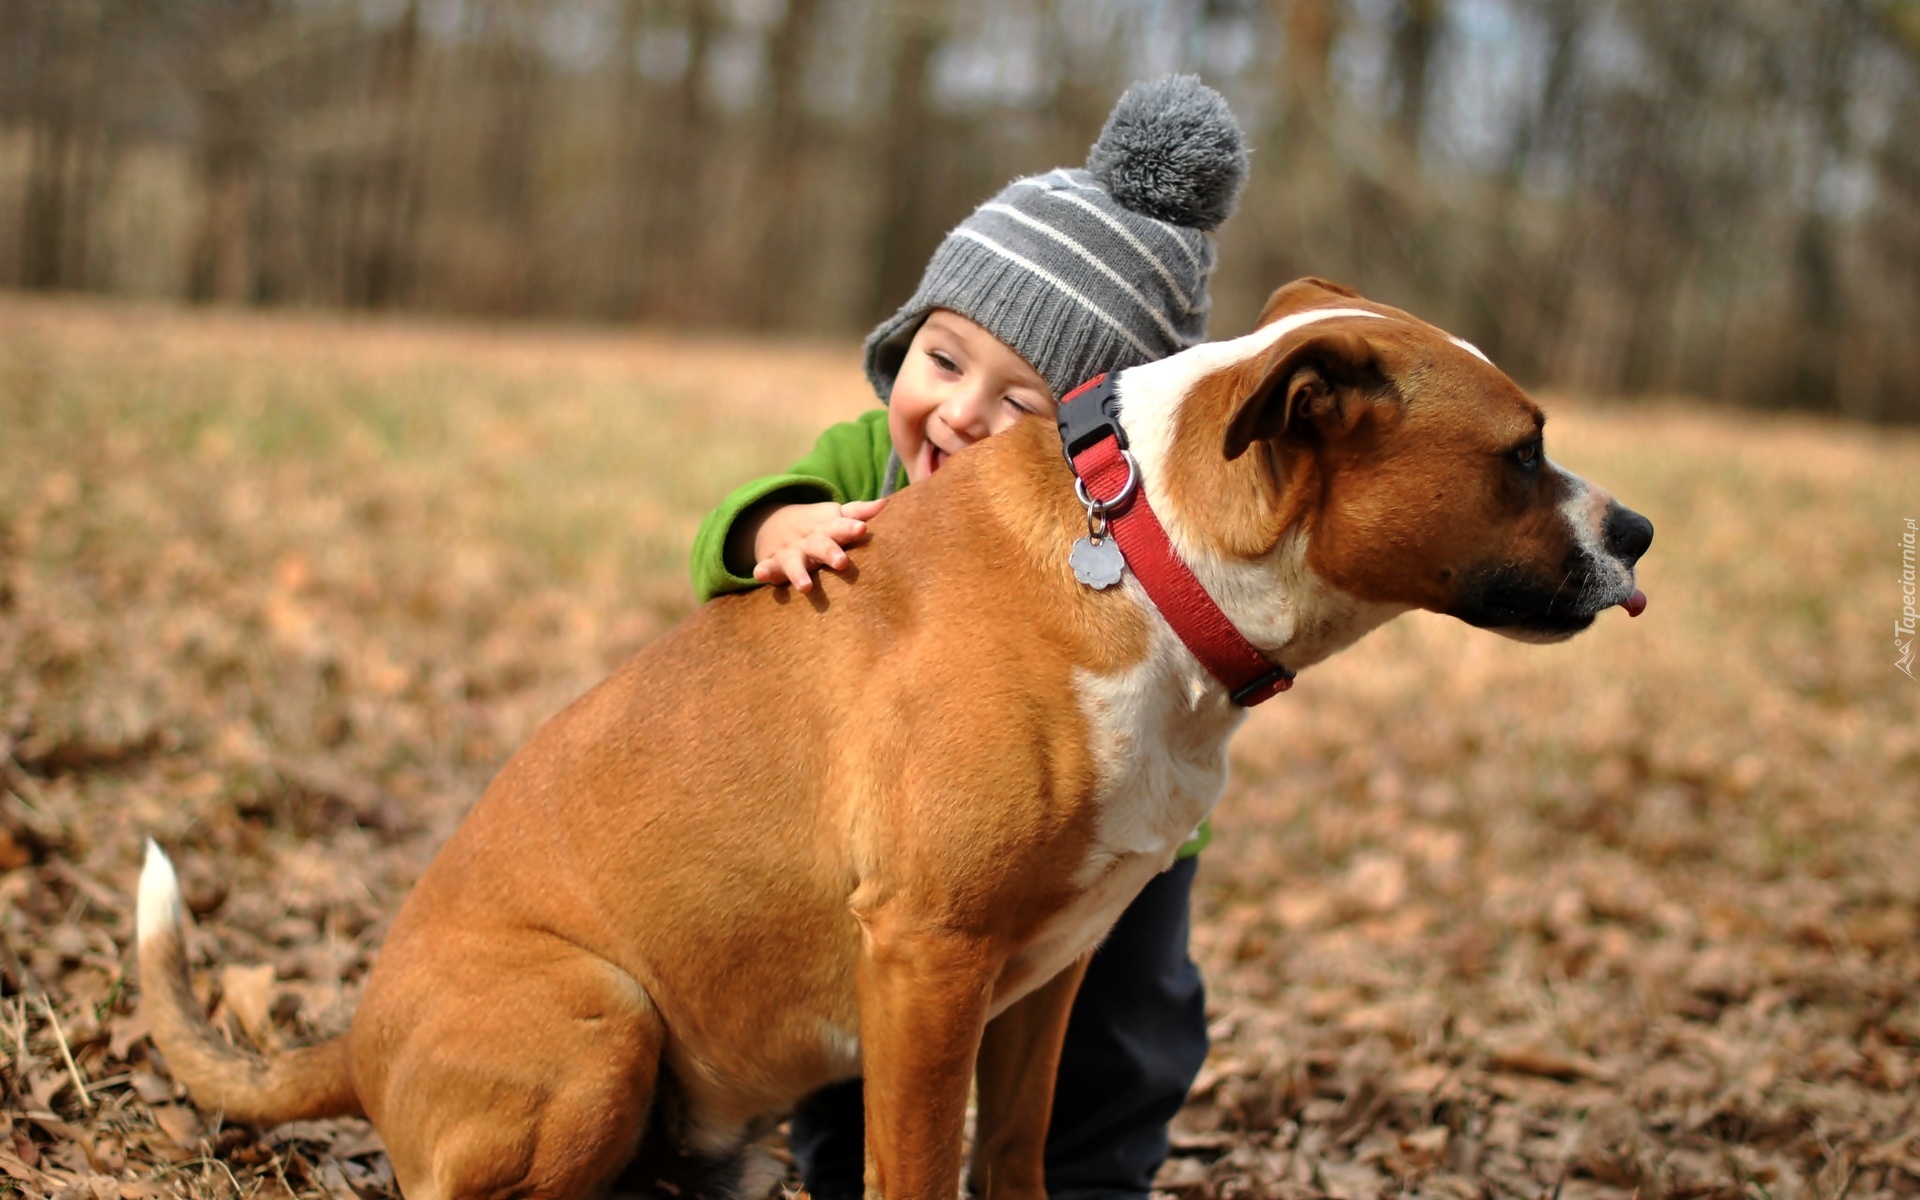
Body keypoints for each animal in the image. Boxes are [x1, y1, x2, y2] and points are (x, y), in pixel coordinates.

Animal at [142, 278, 1658, 1198]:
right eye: (1523, 453)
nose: (1640, 532)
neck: (1142, 552)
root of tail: (356, 1036)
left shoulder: (1047, 973)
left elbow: (1019, 1152)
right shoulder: (928, 960)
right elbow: (921, 1169)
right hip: (602, 1024)